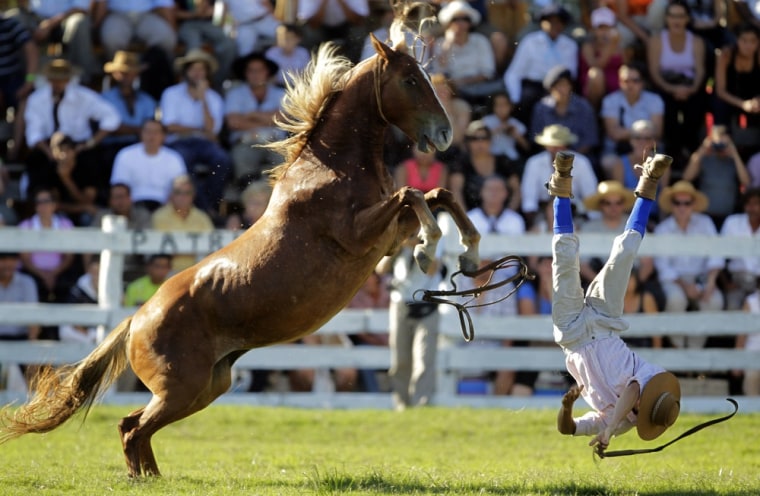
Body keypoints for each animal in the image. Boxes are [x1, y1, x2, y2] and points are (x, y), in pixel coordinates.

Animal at [0, 34, 481, 477]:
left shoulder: (387, 238)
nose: (444, 133)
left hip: (205, 387)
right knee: (134, 428)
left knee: (132, 426)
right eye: (409, 79)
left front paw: (470, 255)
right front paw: (430, 248)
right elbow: (414, 193)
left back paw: (151, 478)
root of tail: (135, 319)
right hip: (183, 388)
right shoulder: (358, 235)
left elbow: (438, 194)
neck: (329, 171)